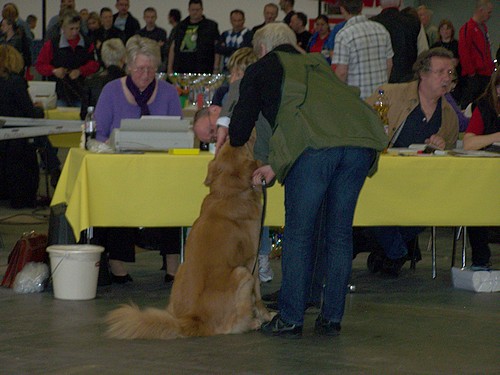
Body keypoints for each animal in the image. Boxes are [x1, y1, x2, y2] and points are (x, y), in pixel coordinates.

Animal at [103, 140, 272, 340]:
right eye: (244, 145)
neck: (228, 194)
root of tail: (192, 319)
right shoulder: (252, 260)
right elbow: (258, 293)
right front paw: (266, 314)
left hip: (181, 269)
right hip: (241, 273)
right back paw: (253, 322)